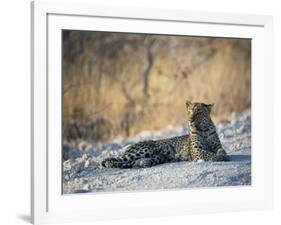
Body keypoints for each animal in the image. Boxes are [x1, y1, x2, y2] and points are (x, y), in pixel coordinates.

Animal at [101, 100, 229, 169]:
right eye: (189, 111)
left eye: (199, 112)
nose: (190, 120)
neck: (204, 129)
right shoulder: (197, 151)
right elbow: (209, 154)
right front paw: (218, 157)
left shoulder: (217, 146)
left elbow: (221, 150)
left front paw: (222, 155)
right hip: (144, 150)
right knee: (116, 159)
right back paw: (111, 164)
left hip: (157, 157)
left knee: (130, 162)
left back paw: (142, 163)